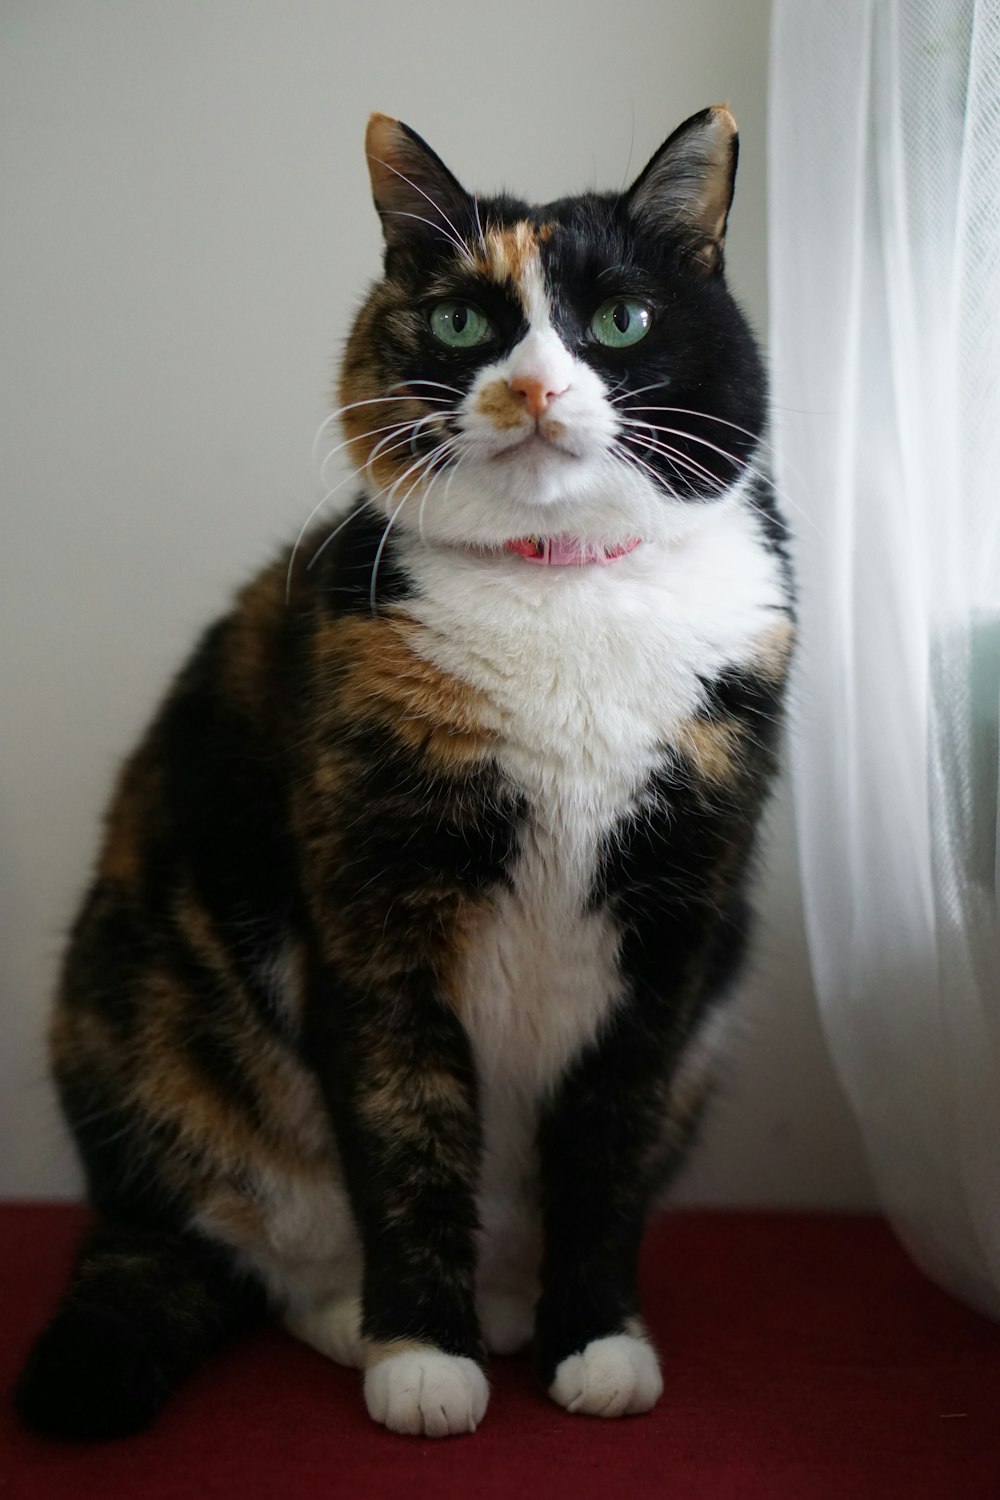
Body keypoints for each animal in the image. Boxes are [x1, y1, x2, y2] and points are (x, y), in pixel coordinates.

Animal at [13, 105, 791, 1440]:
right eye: (461, 323)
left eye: (622, 319)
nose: (530, 385)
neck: (565, 593)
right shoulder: (374, 911)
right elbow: (405, 1126)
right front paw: (424, 1356)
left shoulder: (675, 929)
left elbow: (611, 1142)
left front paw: (597, 1340)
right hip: (149, 1017)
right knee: (265, 1246)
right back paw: (362, 1318)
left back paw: (518, 1305)